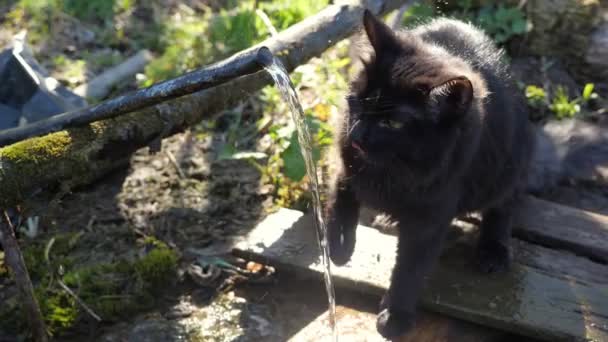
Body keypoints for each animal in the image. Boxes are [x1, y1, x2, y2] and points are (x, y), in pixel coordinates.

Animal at [326, 10, 536, 340]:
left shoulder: (431, 215)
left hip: (511, 164)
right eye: (358, 100)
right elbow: (341, 199)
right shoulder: (346, 163)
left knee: (504, 206)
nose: (357, 134)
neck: (395, 168)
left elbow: (410, 268)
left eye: (392, 123)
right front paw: (340, 246)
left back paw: (494, 250)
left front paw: (395, 315)